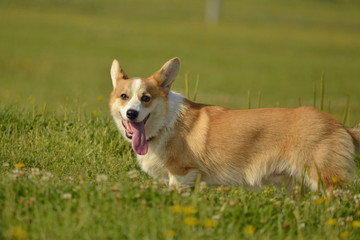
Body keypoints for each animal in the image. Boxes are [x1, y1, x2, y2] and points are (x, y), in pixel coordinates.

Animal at [109, 57, 360, 193]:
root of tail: (341, 126)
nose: (131, 114)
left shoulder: (181, 173)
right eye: (124, 96)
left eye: (146, 98)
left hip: (324, 179)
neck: (165, 124)